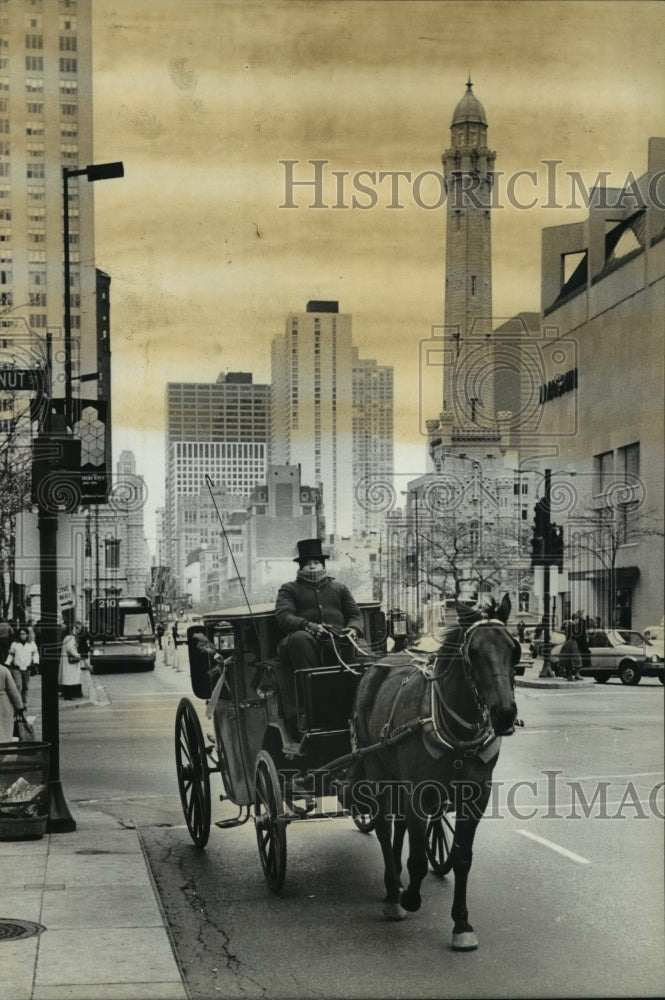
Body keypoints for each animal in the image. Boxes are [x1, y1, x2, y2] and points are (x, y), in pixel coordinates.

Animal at [348, 592, 520, 952]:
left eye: (514, 649)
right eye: (473, 652)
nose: (504, 714)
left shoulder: (476, 797)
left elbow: (462, 857)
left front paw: (462, 923)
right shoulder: (419, 792)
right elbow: (417, 858)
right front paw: (410, 897)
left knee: (397, 828)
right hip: (376, 769)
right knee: (384, 826)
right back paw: (393, 890)